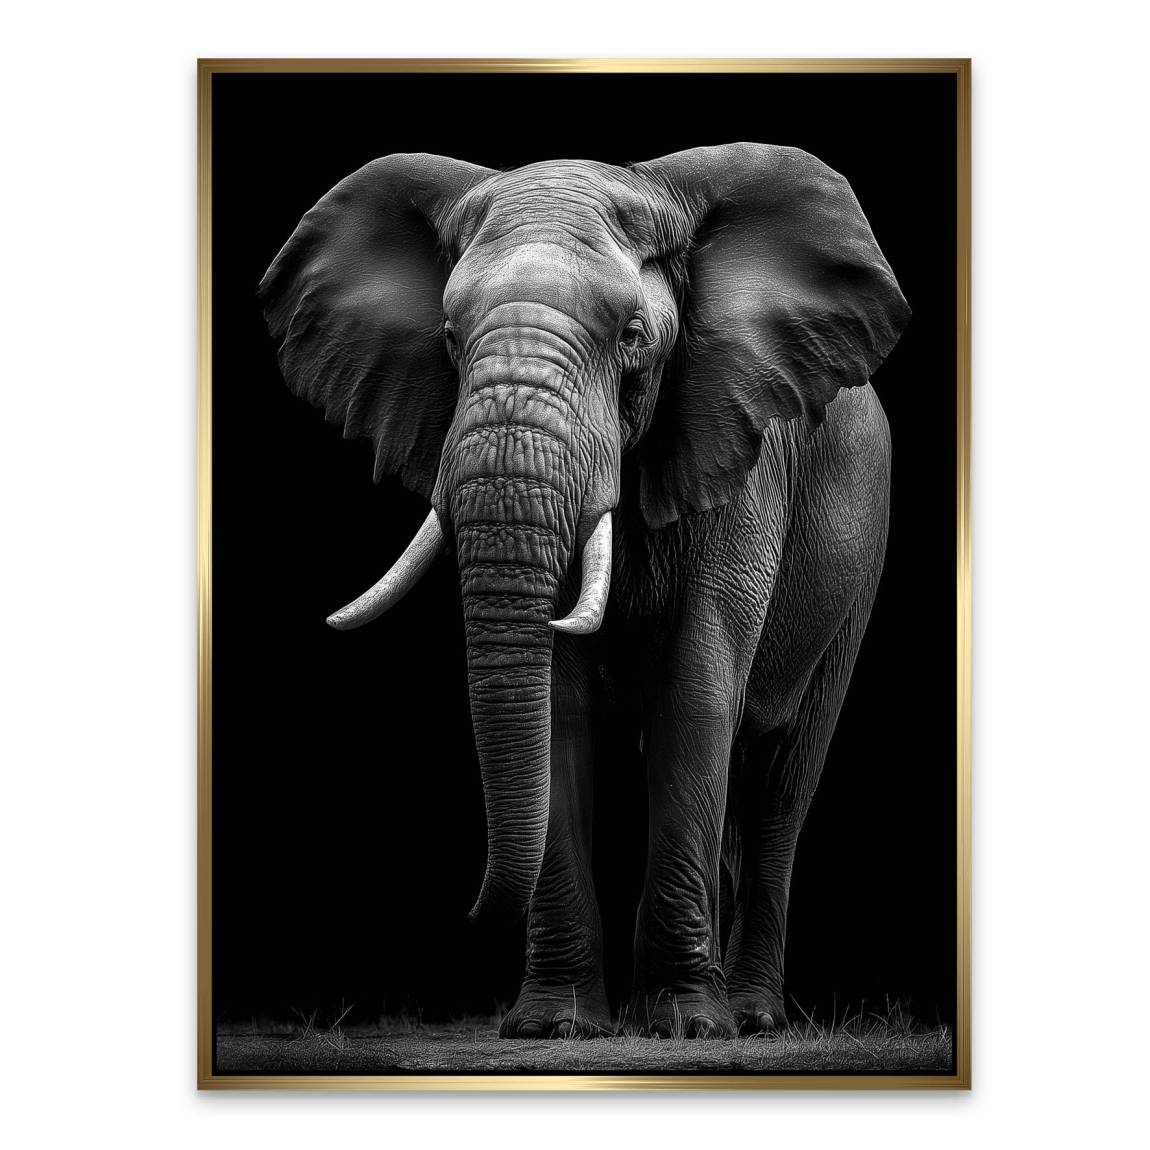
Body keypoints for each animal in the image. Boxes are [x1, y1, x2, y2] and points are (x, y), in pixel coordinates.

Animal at [260, 142, 909, 1039]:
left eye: (633, 337)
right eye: (450, 339)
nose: (464, 912)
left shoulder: (737, 452)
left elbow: (697, 687)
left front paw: (686, 1027)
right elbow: (558, 706)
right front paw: (553, 1025)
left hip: (860, 549)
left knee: (781, 777)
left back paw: (749, 1015)